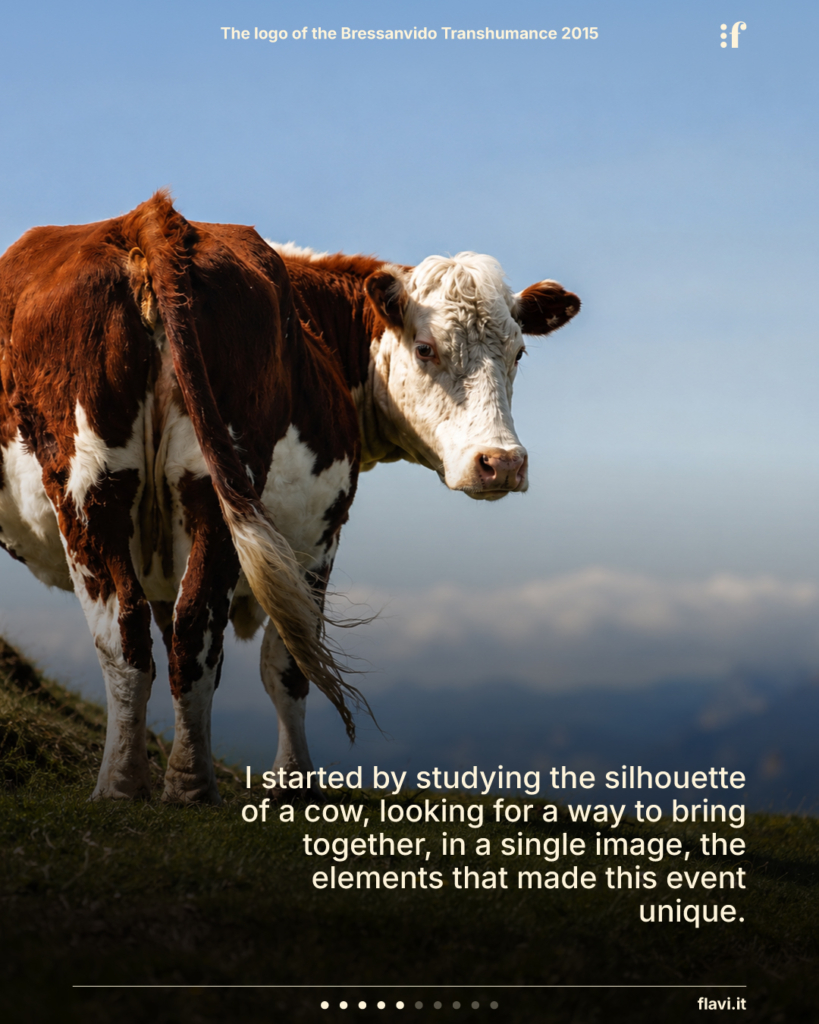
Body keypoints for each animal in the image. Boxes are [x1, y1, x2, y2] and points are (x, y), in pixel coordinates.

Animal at [0, 192, 580, 803]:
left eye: (518, 354)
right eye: (425, 349)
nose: (502, 462)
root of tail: (152, 217)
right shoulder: (319, 534)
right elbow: (289, 662)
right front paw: (295, 782)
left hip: (105, 488)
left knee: (139, 634)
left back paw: (131, 784)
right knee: (186, 631)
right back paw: (183, 785)